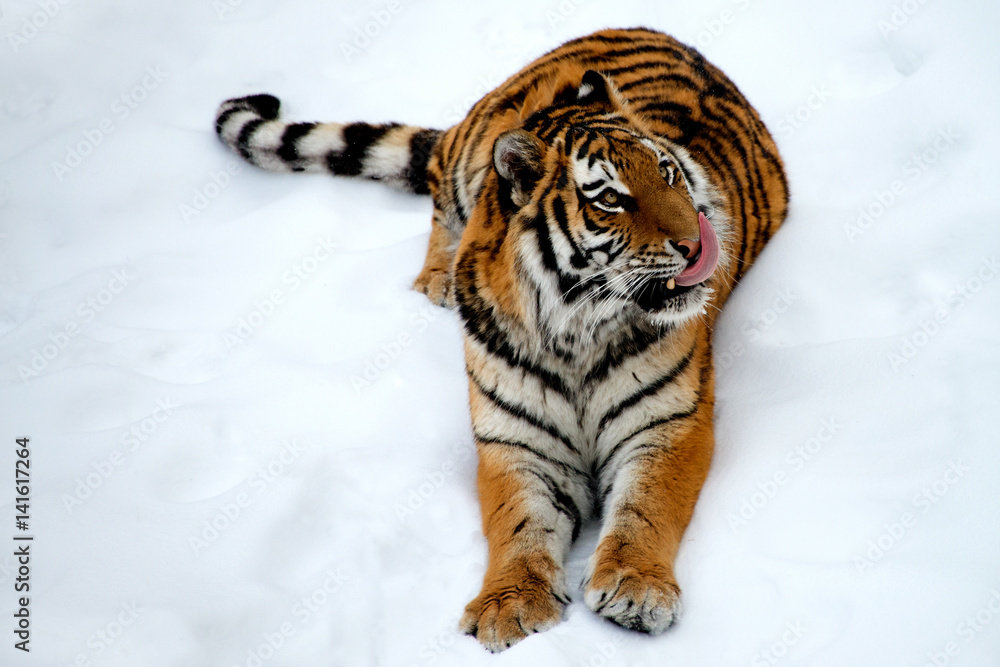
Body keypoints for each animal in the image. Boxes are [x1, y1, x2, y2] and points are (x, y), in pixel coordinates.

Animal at [215, 26, 788, 652]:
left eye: (668, 174)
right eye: (610, 198)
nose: (698, 245)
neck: (577, 329)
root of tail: (654, 30)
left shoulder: (666, 423)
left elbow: (646, 507)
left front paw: (636, 588)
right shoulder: (516, 443)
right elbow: (517, 523)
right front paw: (509, 605)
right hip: (466, 158)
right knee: (439, 200)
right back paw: (436, 280)